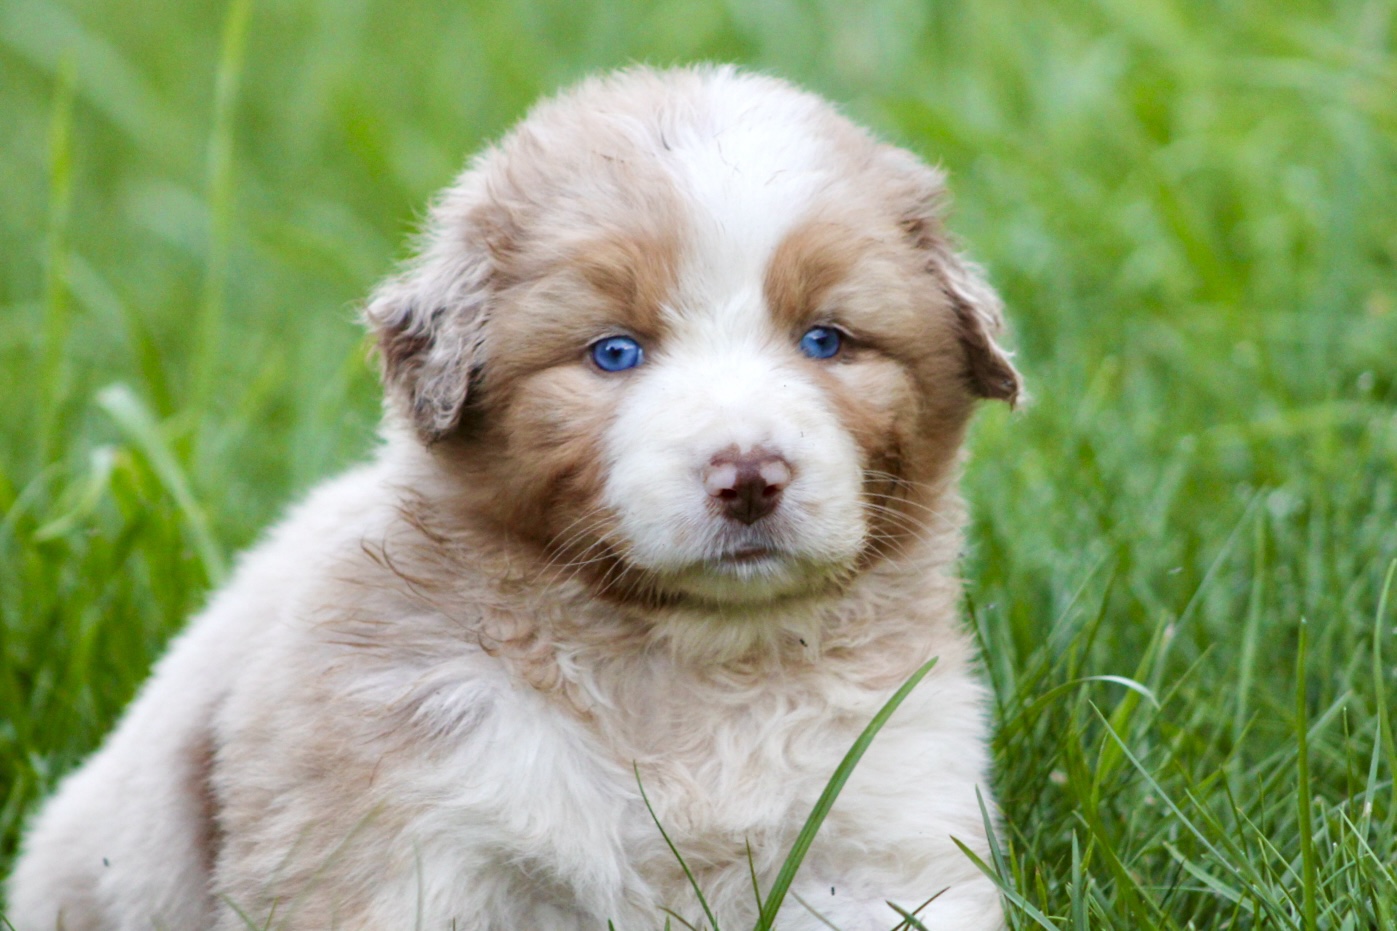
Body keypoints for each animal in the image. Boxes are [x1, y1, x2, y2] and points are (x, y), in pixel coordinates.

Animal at [5, 65, 1021, 930]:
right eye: (614, 352)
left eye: (825, 340)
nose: (748, 475)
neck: (688, 668)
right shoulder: (406, 841)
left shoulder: (883, 828)